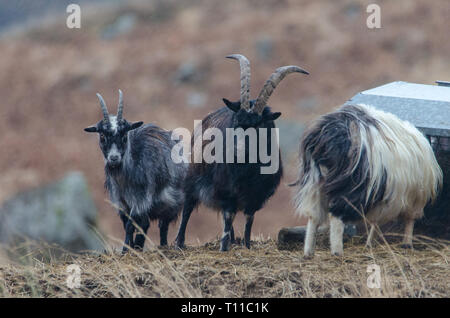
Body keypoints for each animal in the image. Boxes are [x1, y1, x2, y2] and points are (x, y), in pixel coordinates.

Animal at [84, 89, 186, 251]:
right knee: (146, 224)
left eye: (124, 134)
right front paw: (129, 248)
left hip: (171, 203)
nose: (114, 158)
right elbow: (127, 224)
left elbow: (131, 226)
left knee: (163, 225)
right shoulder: (120, 202)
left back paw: (163, 246)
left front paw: (126, 250)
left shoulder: (140, 201)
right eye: (102, 136)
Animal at [176, 55, 310, 253]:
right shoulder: (226, 191)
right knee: (188, 207)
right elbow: (228, 217)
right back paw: (179, 243)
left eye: (259, 125)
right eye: (236, 121)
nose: (237, 151)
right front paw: (224, 248)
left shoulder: (256, 196)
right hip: (193, 179)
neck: (247, 171)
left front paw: (246, 245)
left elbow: (249, 221)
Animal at [292, 103, 442, 258]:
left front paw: (370, 243)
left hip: (315, 182)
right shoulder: (413, 200)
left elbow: (377, 222)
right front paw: (406, 243)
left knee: (313, 217)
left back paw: (308, 252)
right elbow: (408, 221)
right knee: (336, 216)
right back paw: (337, 251)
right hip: (348, 187)